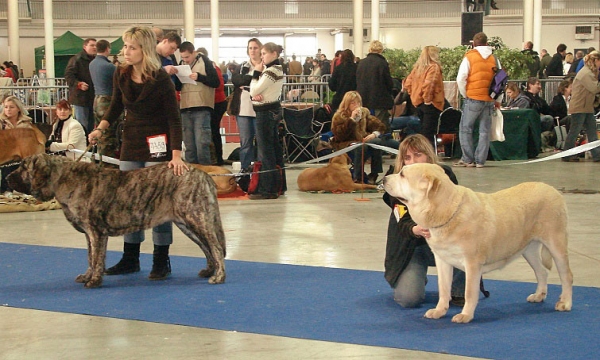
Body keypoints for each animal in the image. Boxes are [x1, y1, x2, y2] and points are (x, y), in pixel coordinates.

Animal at [6, 153, 227, 288]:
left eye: (24, 167)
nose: (7, 178)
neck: (63, 179)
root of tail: (203, 174)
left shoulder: (96, 232)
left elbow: (96, 258)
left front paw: (94, 281)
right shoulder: (90, 234)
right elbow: (90, 257)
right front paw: (87, 276)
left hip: (197, 217)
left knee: (215, 247)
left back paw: (219, 276)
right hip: (187, 223)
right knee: (207, 247)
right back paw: (210, 270)